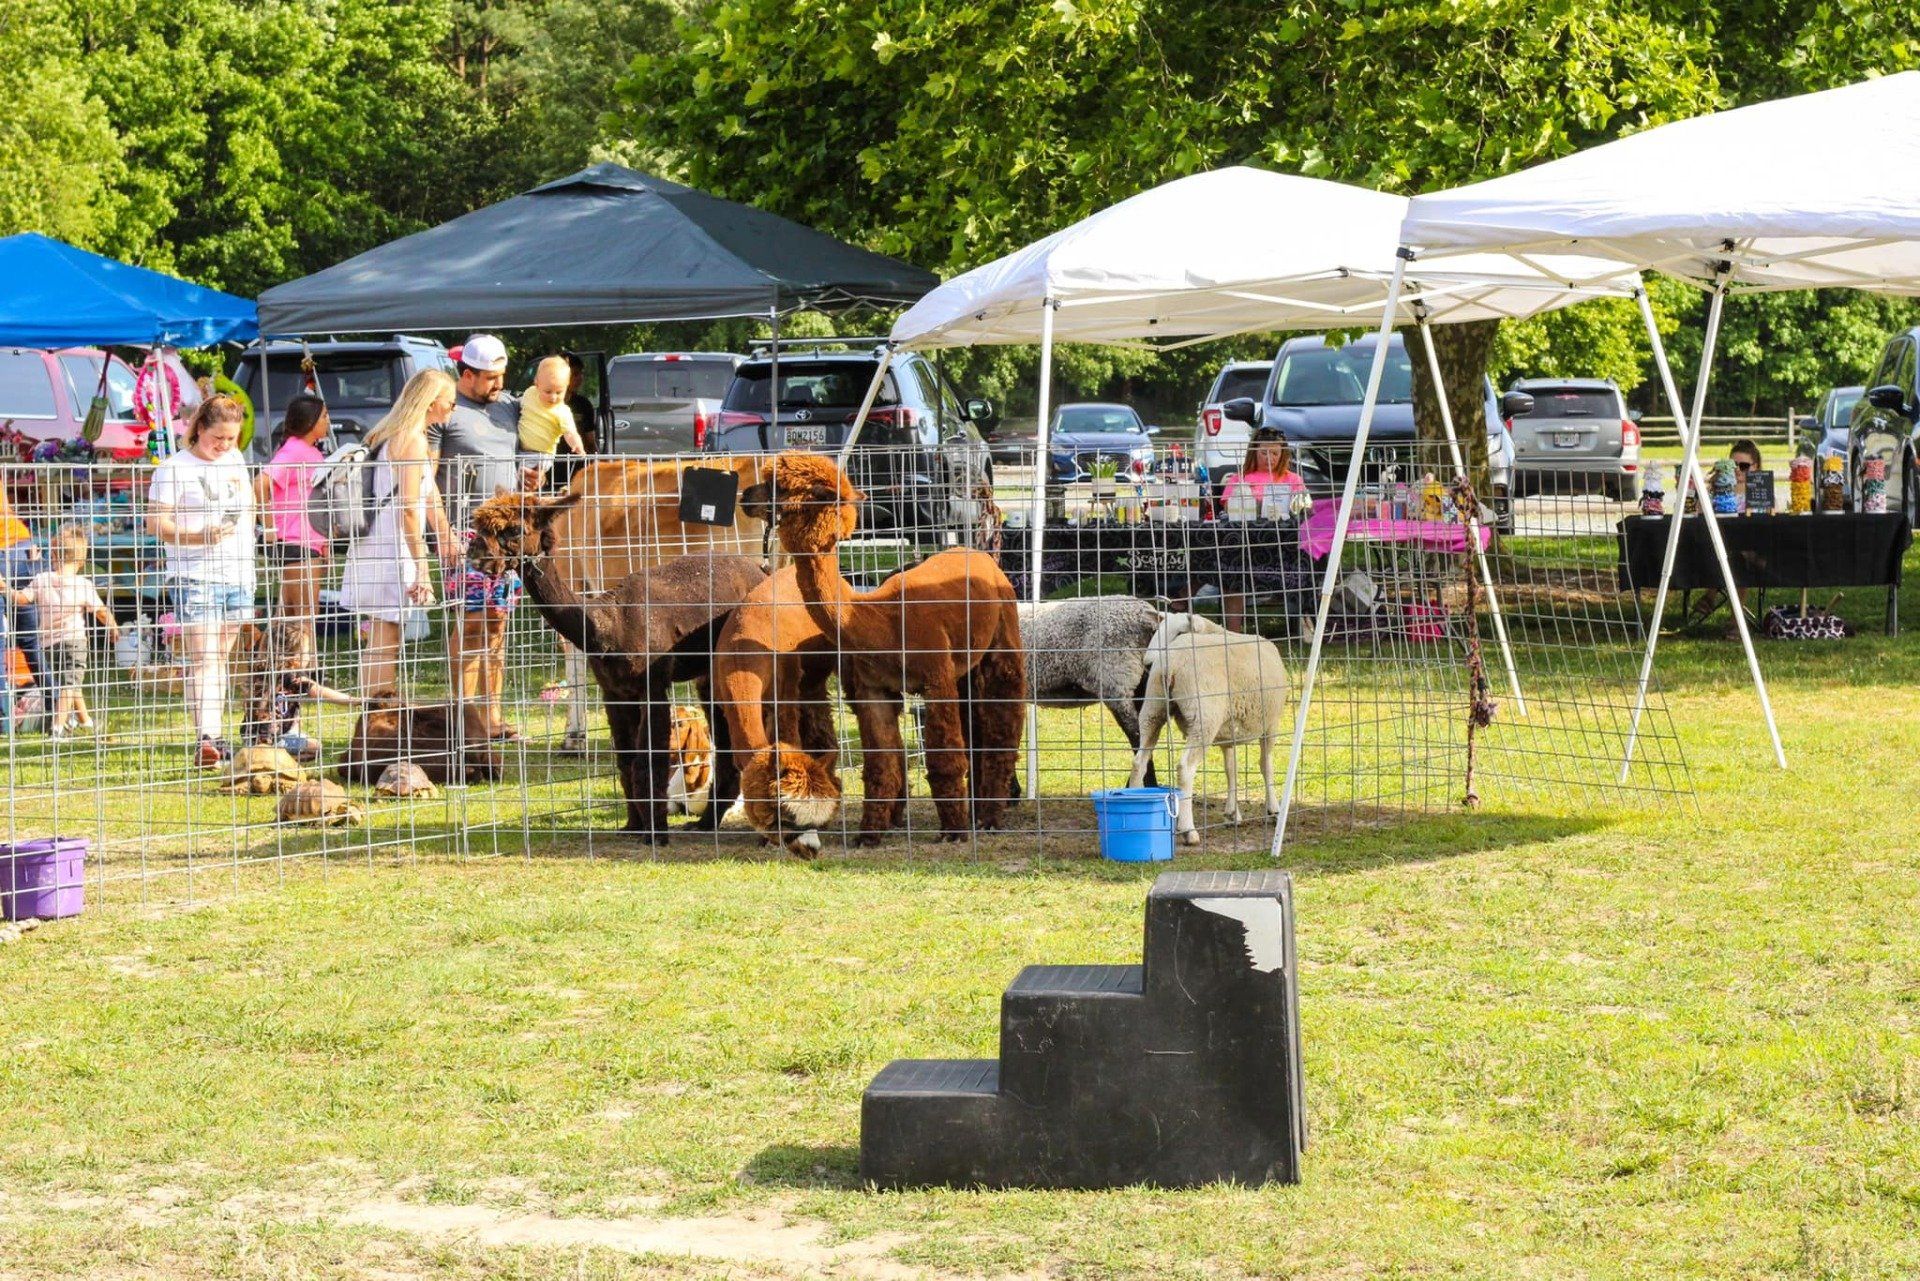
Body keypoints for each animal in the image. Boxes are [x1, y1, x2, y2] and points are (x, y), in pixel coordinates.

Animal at [1121, 614, 1290, 845]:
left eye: (1179, 631)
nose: (1146, 662)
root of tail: (1171, 663)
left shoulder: (1229, 731)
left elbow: (1231, 769)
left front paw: (1232, 814)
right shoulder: (1271, 724)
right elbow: (1266, 765)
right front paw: (1274, 810)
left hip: (1153, 708)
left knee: (1139, 761)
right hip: (1203, 717)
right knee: (1185, 768)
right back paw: (1188, 830)